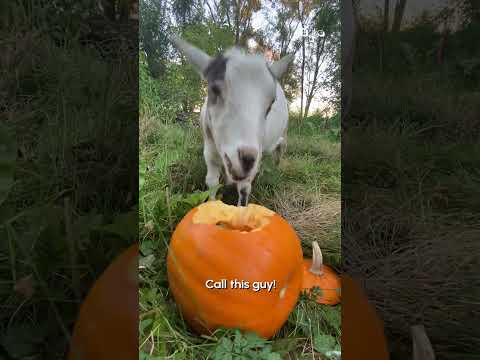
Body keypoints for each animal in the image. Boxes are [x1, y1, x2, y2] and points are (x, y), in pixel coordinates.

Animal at [171, 37, 294, 207]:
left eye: (271, 103)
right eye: (214, 89)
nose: (246, 160)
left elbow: (244, 188)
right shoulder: (209, 149)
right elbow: (211, 182)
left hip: (282, 133)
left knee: (280, 148)